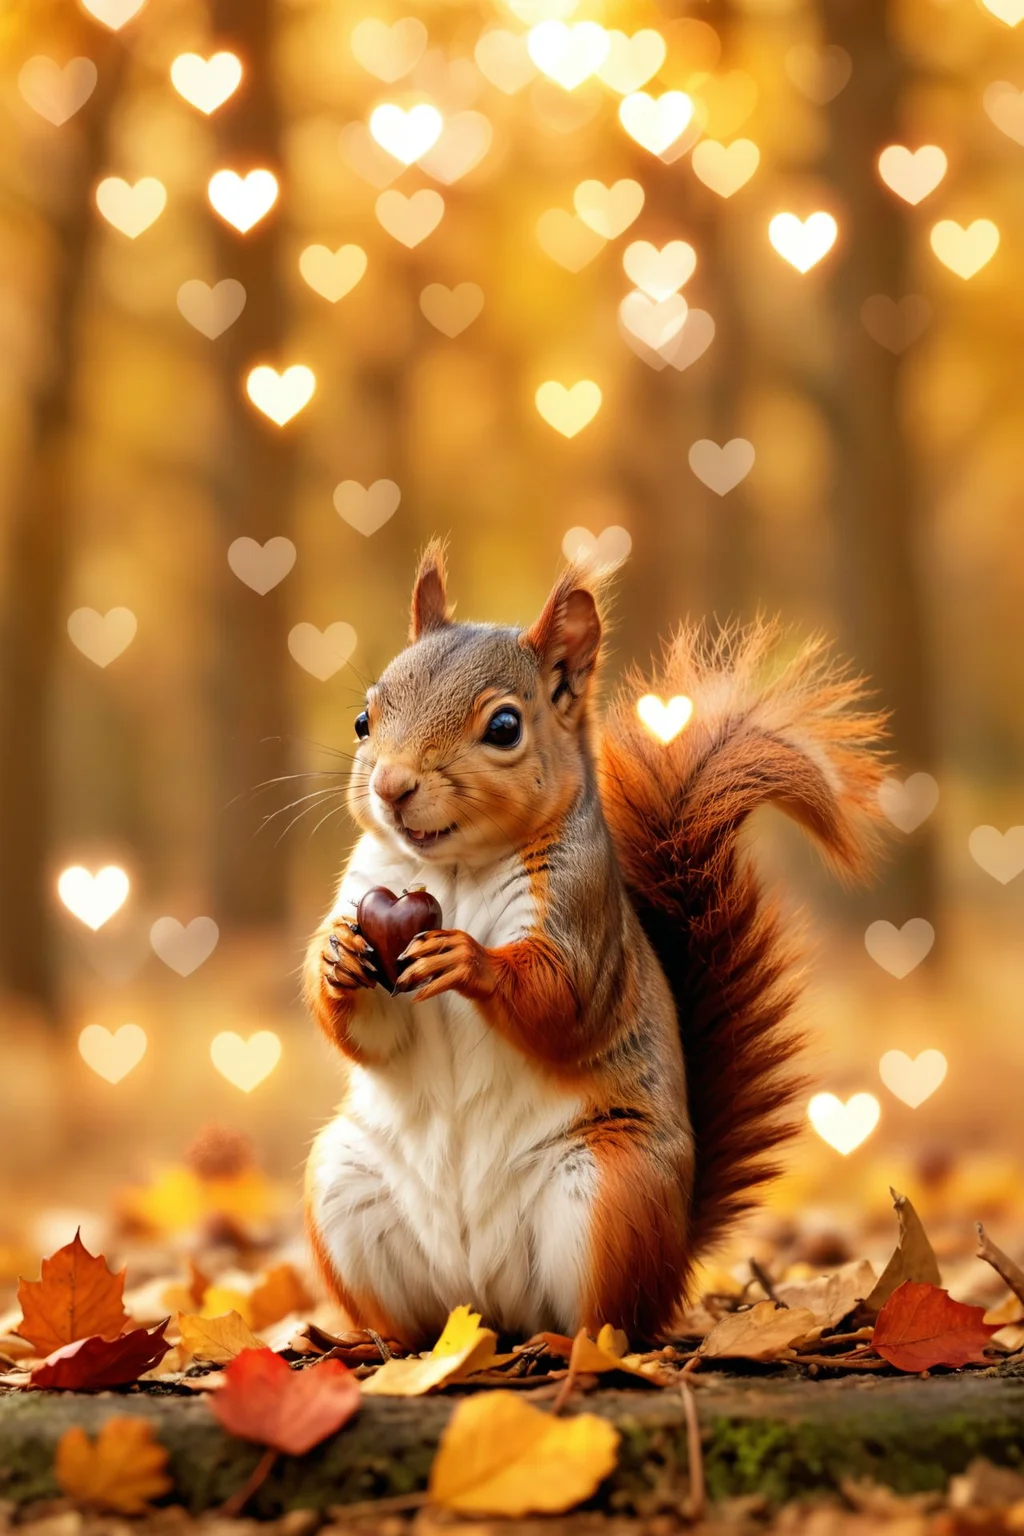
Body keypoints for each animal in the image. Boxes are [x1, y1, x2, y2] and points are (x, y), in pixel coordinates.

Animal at [304, 542, 886, 1346]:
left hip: (611, 1192)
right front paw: (336, 957)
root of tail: (485, 1308)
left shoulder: (582, 915)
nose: (391, 787)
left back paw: (568, 1343)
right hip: (345, 1187)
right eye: (365, 719)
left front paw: (468, 959)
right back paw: (378, 1345)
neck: (450, 869)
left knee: (607, 1320)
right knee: (418, 1323)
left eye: (505, 727)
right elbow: (369, 1033)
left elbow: (563, 1000)